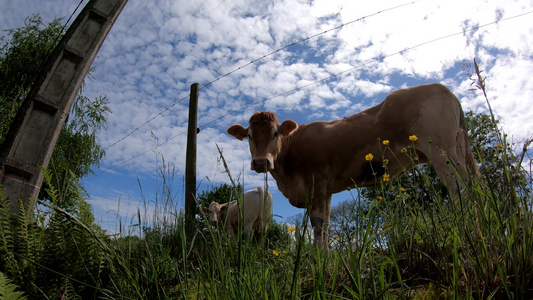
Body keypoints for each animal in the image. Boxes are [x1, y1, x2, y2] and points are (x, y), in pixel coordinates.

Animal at [227, 82, 480, 248]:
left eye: (275, 133)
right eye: (249, 136)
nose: (261, 162)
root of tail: (443, 88)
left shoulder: (317, 182)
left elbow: (318, 222)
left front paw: (317, 261)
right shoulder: (327, 190)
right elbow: (326, 222)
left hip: (442, 152)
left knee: (460, 189)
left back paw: (468, 230)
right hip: (457, 149)